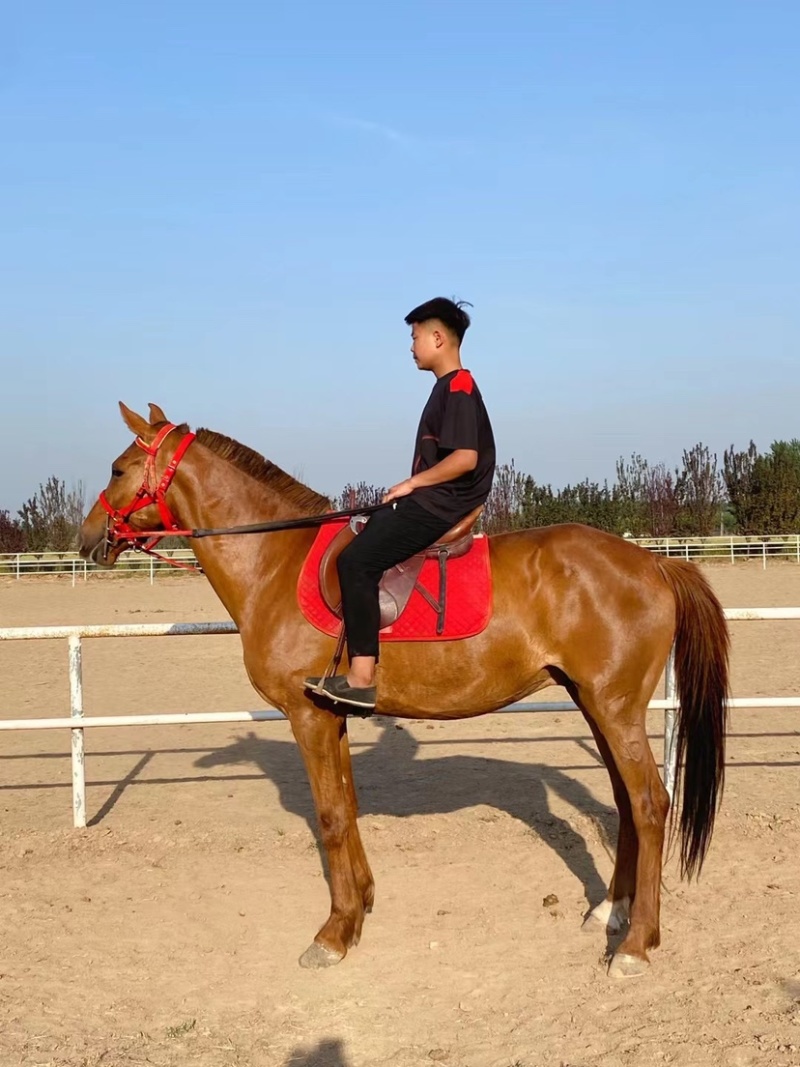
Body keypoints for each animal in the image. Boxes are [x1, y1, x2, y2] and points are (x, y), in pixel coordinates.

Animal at [78, 402, 729, 979]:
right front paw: (361, 904)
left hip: (613, 707)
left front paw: (333, 933)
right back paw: (612, 911)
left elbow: (330, 816)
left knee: (650, 804)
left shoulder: (307, 716)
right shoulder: (332, 713)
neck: (275, 562)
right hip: (594, 702)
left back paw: (638, 945)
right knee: (625, 800)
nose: (87, 539)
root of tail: (653, 563)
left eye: (117, 469)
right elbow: (348, 807)